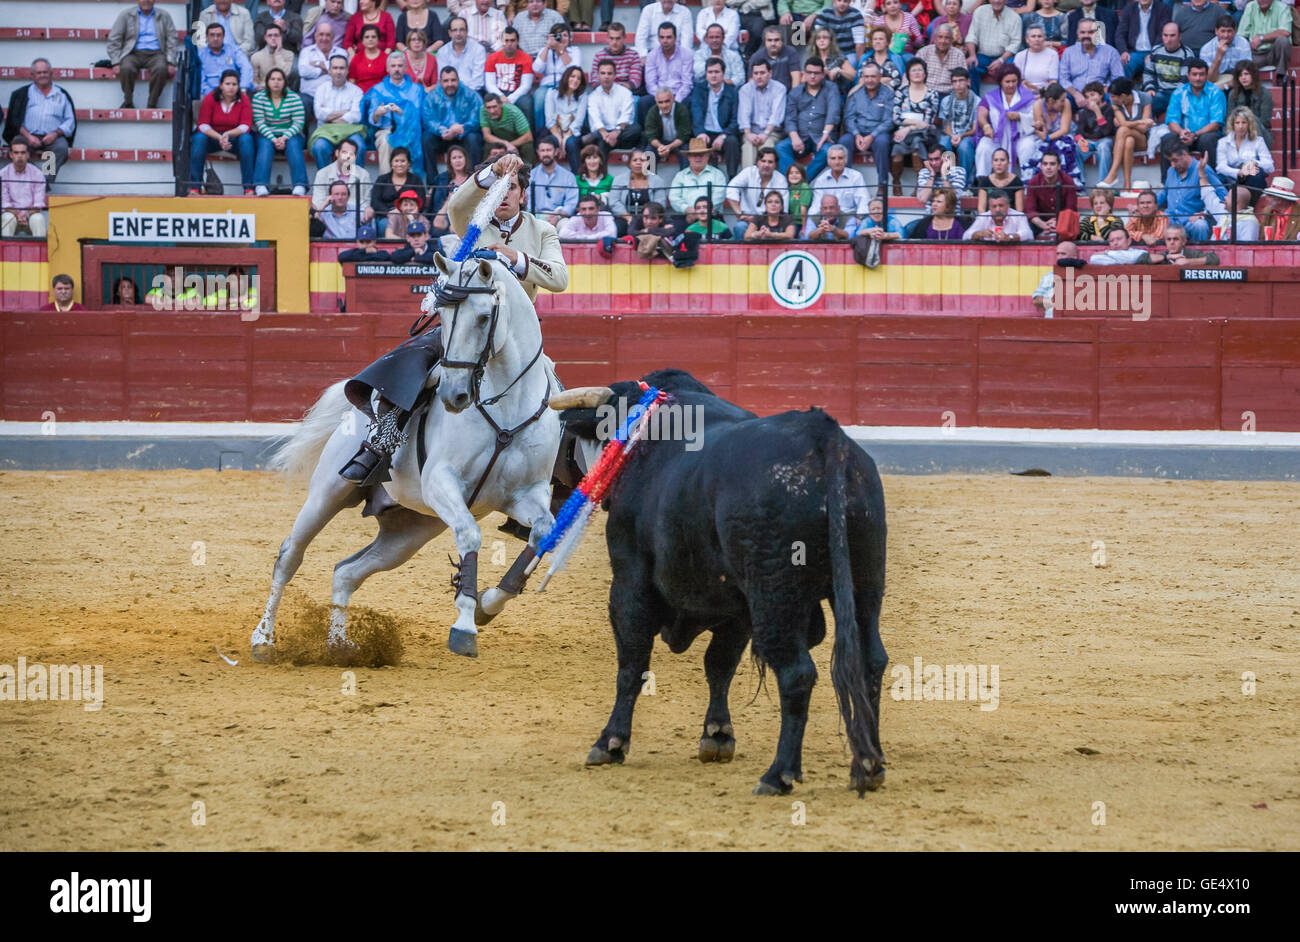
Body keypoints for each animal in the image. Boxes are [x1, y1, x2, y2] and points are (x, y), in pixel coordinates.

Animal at [250, 253, 561, 657]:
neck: (505, 407)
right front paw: (464, 625)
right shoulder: (441, 482)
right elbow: (470, 536)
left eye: (482, 317)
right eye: (441, 317)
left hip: (410, 530)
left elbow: (544, 533)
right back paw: (263, 639)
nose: (454, 395)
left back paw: (339, 646)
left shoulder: (527, 493)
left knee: (346, 572)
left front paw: (488, 604)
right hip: (328, 494)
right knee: (290, 556)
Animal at [553, 366, 889, 795]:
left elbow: (632, 662)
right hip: (865, 582)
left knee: (797, 673)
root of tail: (822, 438)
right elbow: (719, 665)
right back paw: (871, 764)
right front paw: (717, 735)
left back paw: (778, 774)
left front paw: (611, 742)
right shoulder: (738, 610)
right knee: (870, 660)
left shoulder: (629, 581)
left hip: (773, 596)